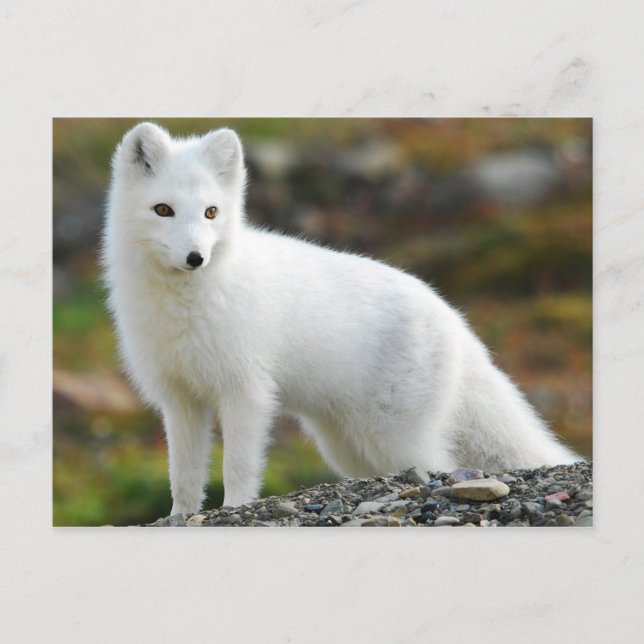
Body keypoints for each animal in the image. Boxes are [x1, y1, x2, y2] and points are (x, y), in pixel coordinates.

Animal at [102, 122, 579, 515]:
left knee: (439, 465)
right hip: (345, 444)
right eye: (163, 210)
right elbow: (183, 476)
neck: (182, 307)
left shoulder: (246, 391)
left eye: (211, 212)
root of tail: (451, 317)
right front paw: (179, 517)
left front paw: (234, 508)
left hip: (394, 437)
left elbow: (237, 468)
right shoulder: (179, 398)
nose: (195, 257)